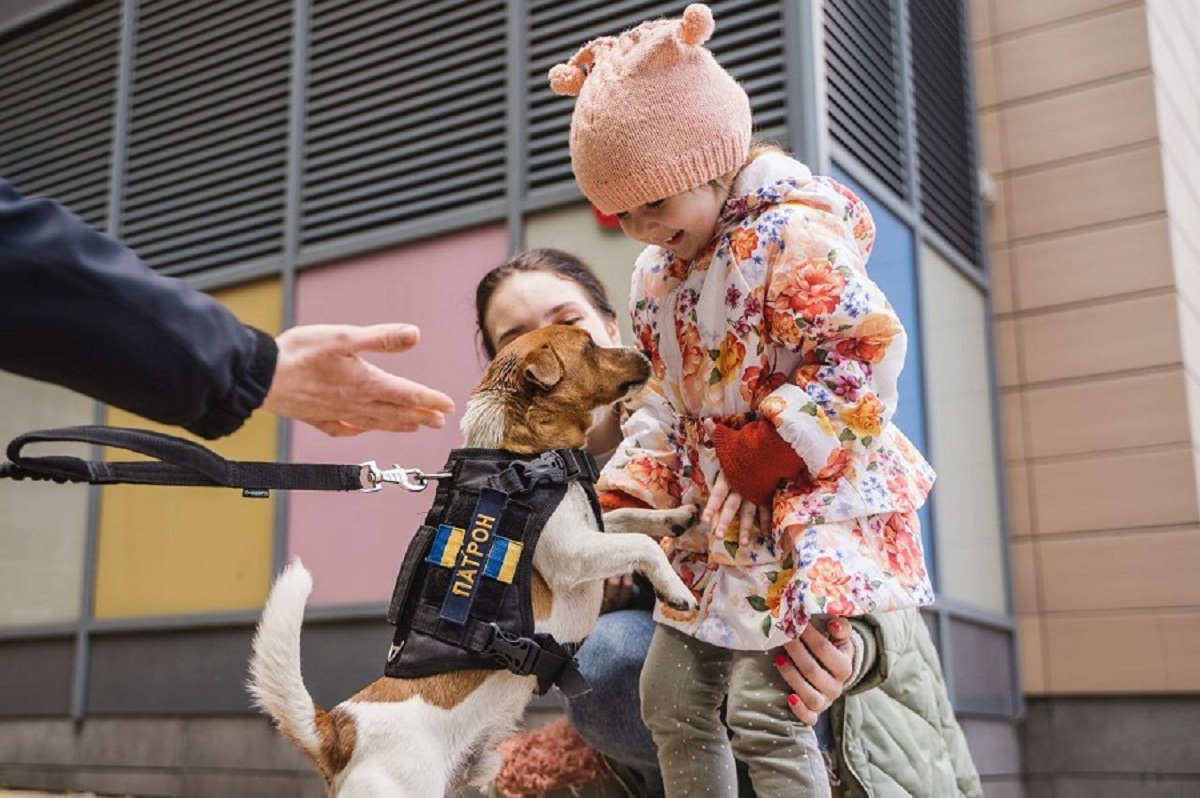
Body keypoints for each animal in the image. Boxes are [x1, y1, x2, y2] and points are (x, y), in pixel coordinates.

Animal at [246, 326, 696, 796]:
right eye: (589, 345)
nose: (646, 352)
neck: (525, 455)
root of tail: (339, 728)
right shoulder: (572, 555)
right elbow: (641, 544)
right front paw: (676, 590)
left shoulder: (596, 529)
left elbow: (631, 518)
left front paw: (678, 516)